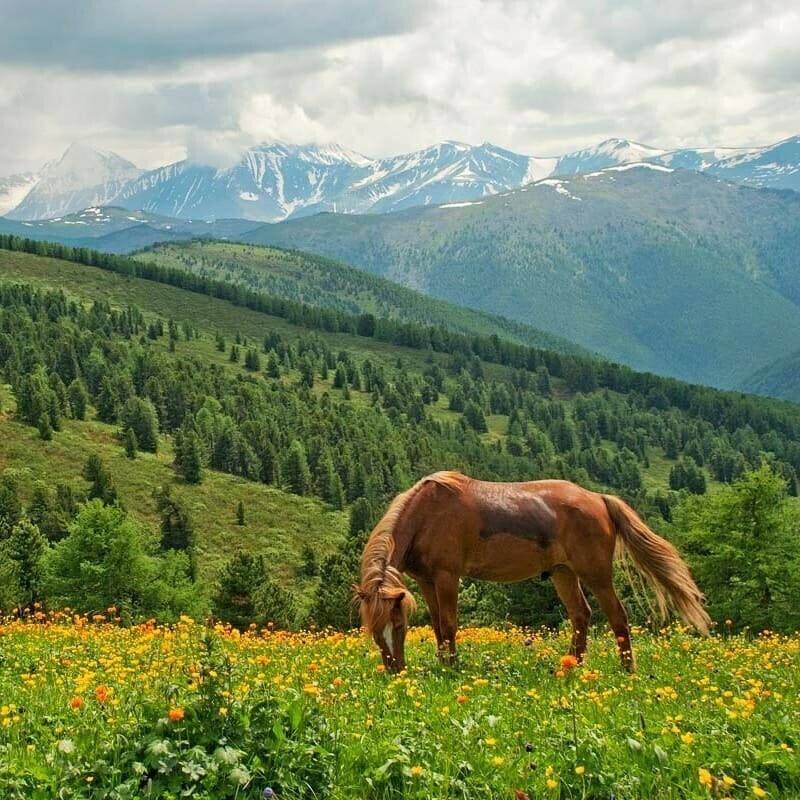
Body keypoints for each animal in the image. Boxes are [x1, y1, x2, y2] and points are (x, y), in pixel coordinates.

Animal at [356, 472, 712, 672]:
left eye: (398, 627)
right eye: (374, 631)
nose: (394, 670)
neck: (426, 515)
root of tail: (599, 499)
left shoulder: (447, 576)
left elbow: (449, 624)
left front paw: (452, 668)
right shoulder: (427, 580)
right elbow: (436, 627)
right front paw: (444, 663)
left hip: (595, 574)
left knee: (617, 617)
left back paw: (627, 670)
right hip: (562, 573)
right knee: (581, 615)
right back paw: (570, 667)